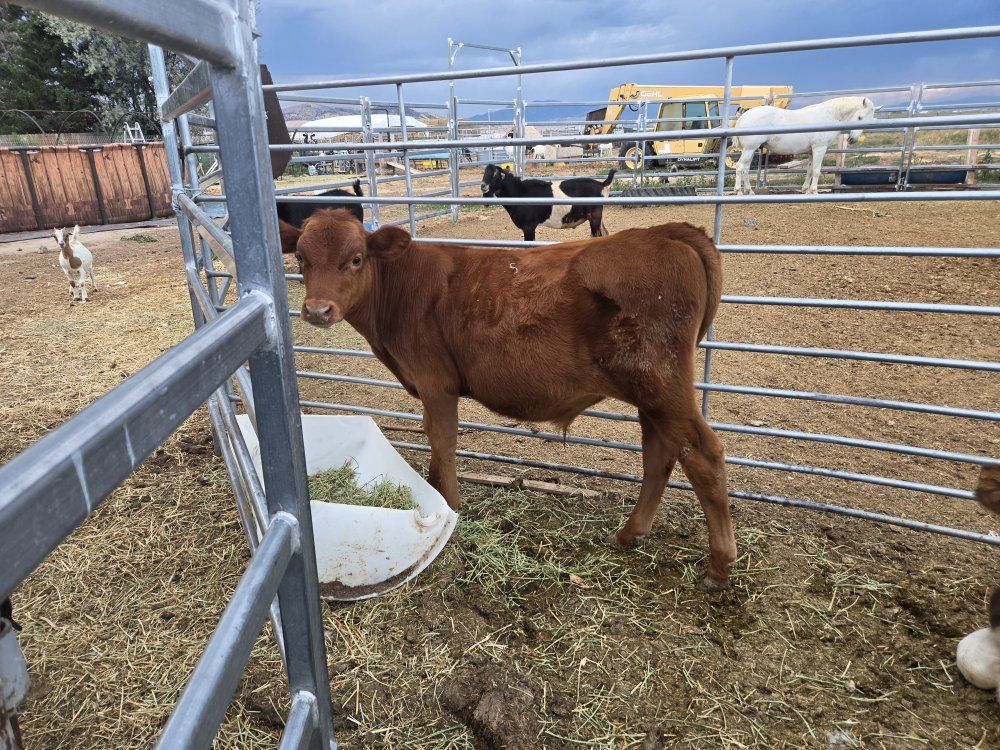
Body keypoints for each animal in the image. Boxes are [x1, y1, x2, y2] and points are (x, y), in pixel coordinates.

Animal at [279, 209, 736, 587]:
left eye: (356, 258)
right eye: (300, 258)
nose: (317, 310)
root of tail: (664, 232)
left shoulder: (435, 382)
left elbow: (443, 442)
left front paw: (452, 506)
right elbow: (433, 442)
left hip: (662, 385)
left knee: (703, 453)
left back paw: (719, 566)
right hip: (652, 394)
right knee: (659, 455)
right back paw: (628, 535)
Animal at [481, 164, 616, 242]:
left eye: (496, 174)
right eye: (484, 173)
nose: (483, 186)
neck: (520, 191)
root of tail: (602, 184)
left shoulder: (529, 226)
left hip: (594, 215)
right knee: (605, 233)